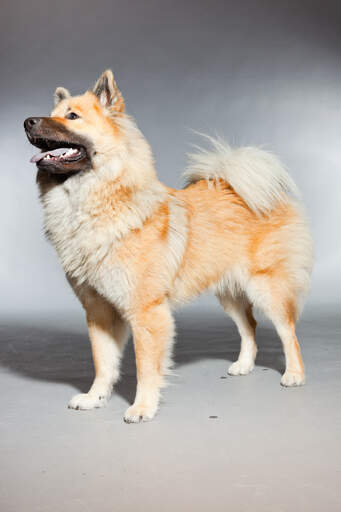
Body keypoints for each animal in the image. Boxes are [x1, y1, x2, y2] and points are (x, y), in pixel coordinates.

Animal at [23, 70, 310, 422]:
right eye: (52, 113)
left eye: (72, 117)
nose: (28, 122)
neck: (96, 203)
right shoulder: (98, 311)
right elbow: (103, 363)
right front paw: (95, 398)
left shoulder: (146, 312)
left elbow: (146, 366)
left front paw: (143, 407)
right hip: (228, 291)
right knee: (249, 326)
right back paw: (243, 365)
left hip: (266, 288)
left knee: (288, 331)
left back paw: (294, 374)